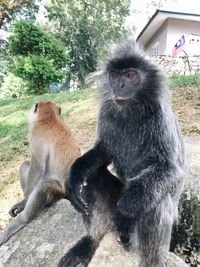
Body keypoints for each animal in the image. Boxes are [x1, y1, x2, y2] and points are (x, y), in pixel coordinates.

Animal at [59, 40, 186, 267]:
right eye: (114, 76)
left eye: (130, 76)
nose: (119, 86)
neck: (131, 111)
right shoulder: (106, 113)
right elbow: (103, 152)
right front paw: (75, 176)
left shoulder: (160, 117)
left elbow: (172, 170)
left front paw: (126, 209)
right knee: (94, 176)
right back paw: (90, 241)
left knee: (157, 201)